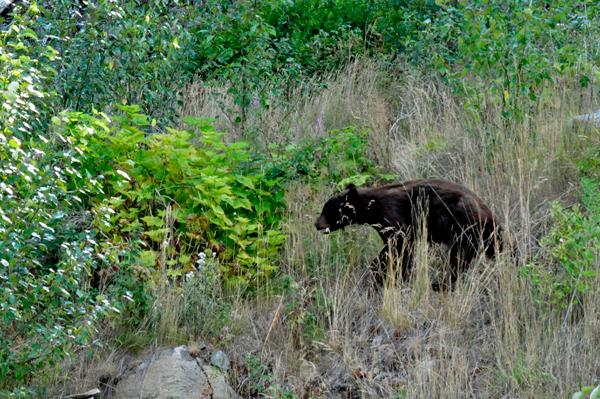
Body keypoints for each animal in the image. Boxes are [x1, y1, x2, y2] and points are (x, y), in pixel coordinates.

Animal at [316, 180, 504, 290]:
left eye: (327, 210)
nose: (316, 224)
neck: (371, 209)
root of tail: (488, 212)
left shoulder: (392, 217)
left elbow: (400, 245)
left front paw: (388, 275)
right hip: (485, 234)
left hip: (464, 227)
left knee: (458, 259)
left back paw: (441, 285)